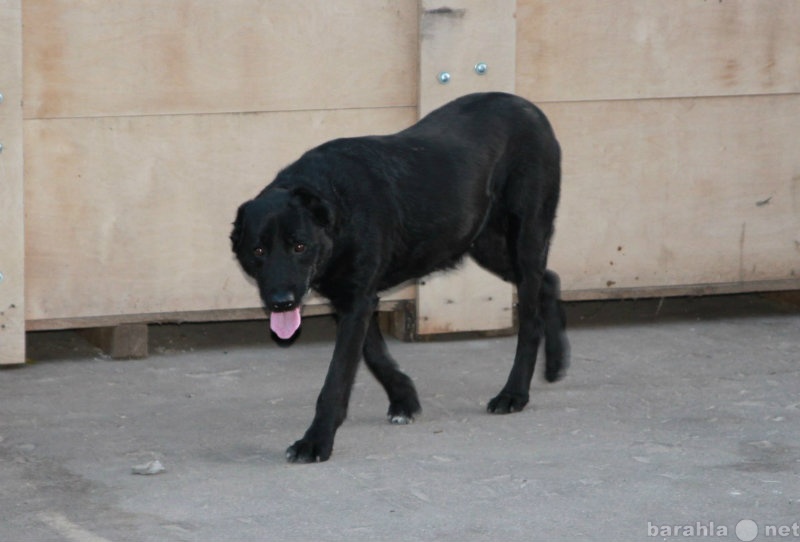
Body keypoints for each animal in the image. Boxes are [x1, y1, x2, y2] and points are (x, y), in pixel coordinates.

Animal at [231, 92, 568, 464]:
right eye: (258, 251)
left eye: (299, 246)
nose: (281, 303)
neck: (334, 204)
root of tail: (529, 107)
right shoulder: (354, 299)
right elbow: (374, 354)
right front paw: (404, 398)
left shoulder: (357, 300)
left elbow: (337, 378)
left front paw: (316, 441)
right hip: (485, 243)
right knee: (549, 280)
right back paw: (555, 363)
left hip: (525, 236)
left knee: (531, 317)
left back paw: (514, 393)